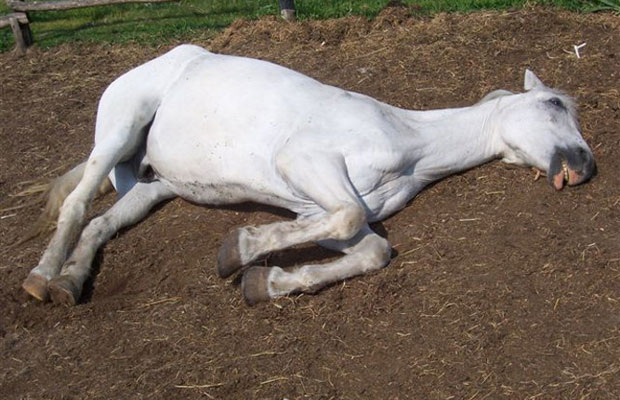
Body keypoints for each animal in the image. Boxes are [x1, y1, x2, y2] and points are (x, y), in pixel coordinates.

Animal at [21, 44, 596, 306]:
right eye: (553, 104)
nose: (585, 166)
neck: (411, 143)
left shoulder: (312, 208)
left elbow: (371, 249)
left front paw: (265, 282)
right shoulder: (306, 165)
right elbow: (348, 219)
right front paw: (239, 248)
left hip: (152, 184)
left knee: (101, 224)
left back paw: (69, 282)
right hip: (119, 130)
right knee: (77, 205)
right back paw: (40, 279)